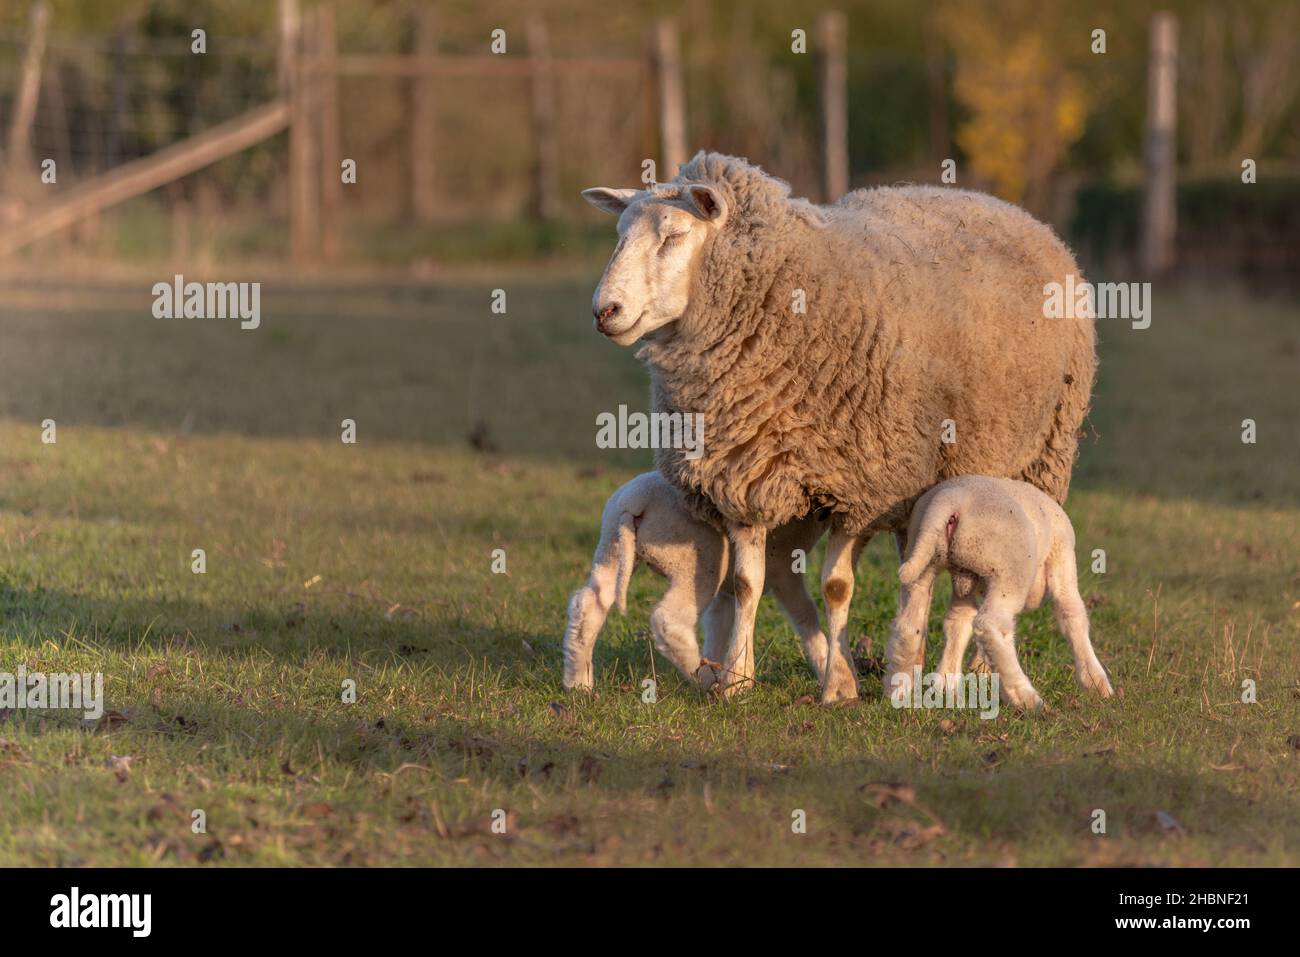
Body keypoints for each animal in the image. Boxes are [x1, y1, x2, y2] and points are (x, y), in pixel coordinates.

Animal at [562, 471, 829, 692]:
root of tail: (638, 502)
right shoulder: (784, 572)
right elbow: (806, 614)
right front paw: (826, 665)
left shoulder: (728, 592)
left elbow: (718, 624)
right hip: (696, 561)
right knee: (669, 621)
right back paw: (705, 679)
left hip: (611, 546)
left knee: (588, 603)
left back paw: (578, 683)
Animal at [889, 474, 1114, 710]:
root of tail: (950, 501)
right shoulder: (1062, 555)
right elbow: (1072, 613)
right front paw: (1096, 683)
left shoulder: (964, 579)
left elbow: (958, 622)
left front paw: (945, 685)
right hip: (1010, 572)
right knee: (989, 624)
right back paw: (1024, 696)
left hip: (925, 559)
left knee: (910, 623)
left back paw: (899, 690)